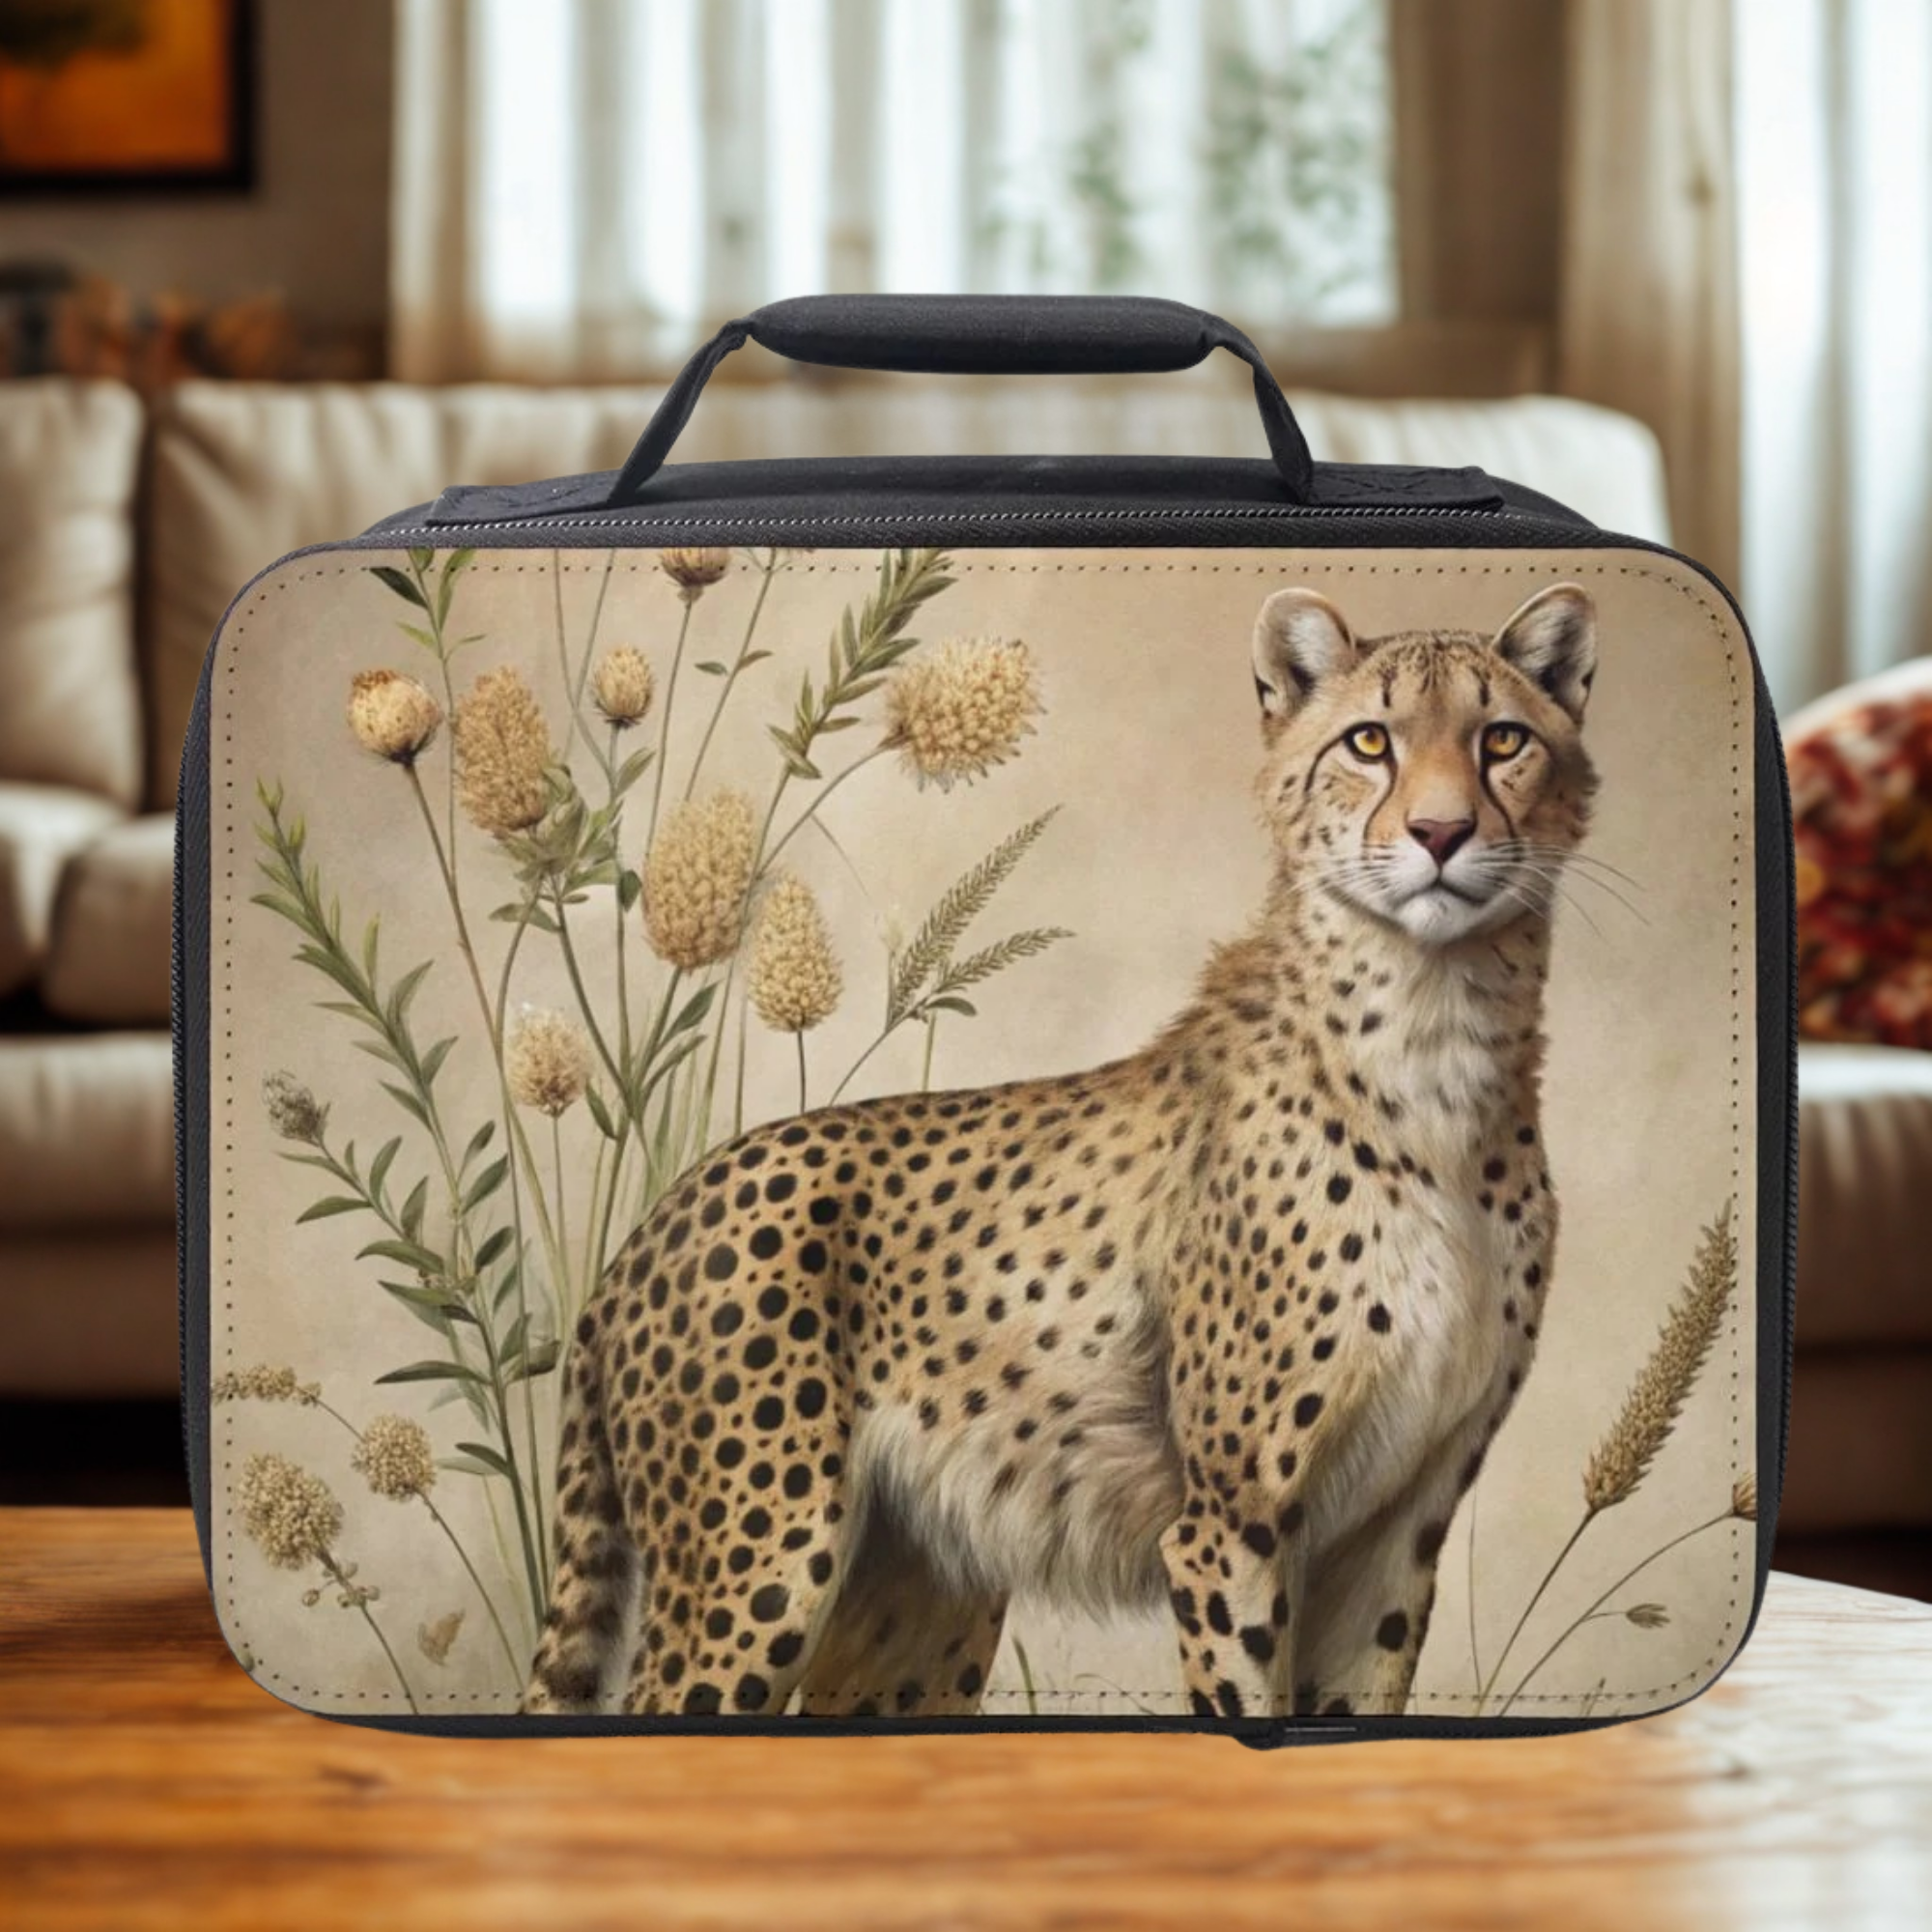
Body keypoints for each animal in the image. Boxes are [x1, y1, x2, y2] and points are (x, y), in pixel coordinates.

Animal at [521, 579, 1600, 1723]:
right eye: (1368, 741)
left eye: (1500, 739)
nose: (1440, 831)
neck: (1435, 1042)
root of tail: (651, 1224)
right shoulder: (1232, 1522)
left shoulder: (1395, 1531)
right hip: (758, 1564)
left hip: (916, 1604)